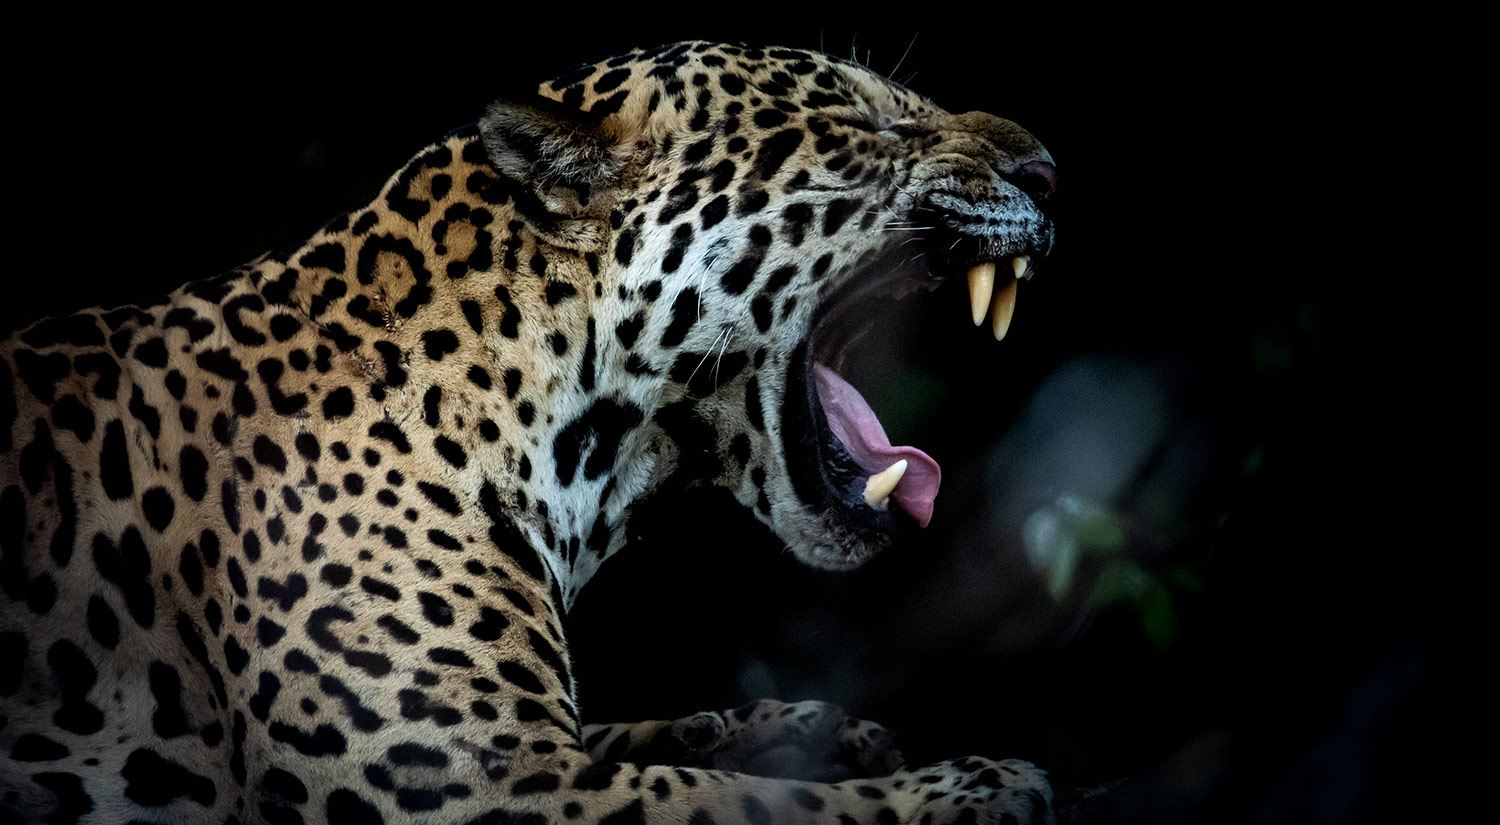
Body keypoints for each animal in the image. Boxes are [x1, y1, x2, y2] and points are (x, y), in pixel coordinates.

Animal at [0, 40, 1057, 823]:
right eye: (862, 121)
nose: (1048, 171)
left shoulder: (533, 747)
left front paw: (797, 730)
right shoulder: (483, 780)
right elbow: (755, 804)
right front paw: (971, 784)